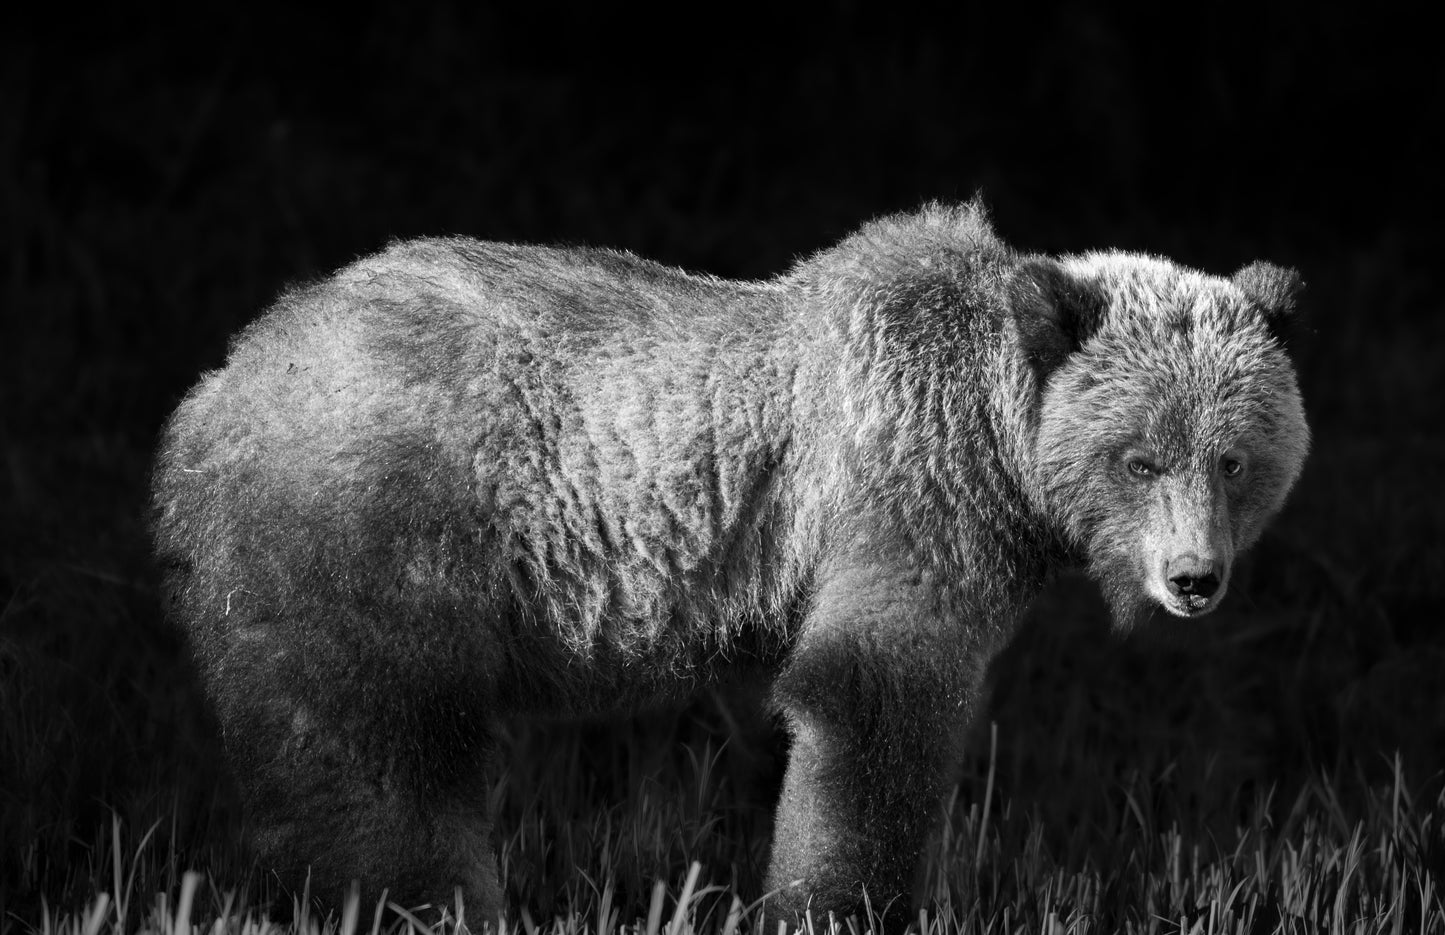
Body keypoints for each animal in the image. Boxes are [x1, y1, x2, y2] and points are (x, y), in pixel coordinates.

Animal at [150, 201, 1308, 929]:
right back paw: (432, 904)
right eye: (1139, 455)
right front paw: (832, 902)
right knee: (389, 762)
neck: (1002, 456)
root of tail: (213, 393)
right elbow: (868, 703)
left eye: (1233, 456)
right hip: (375, 528)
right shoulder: (899, 486)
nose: (1193, 577)